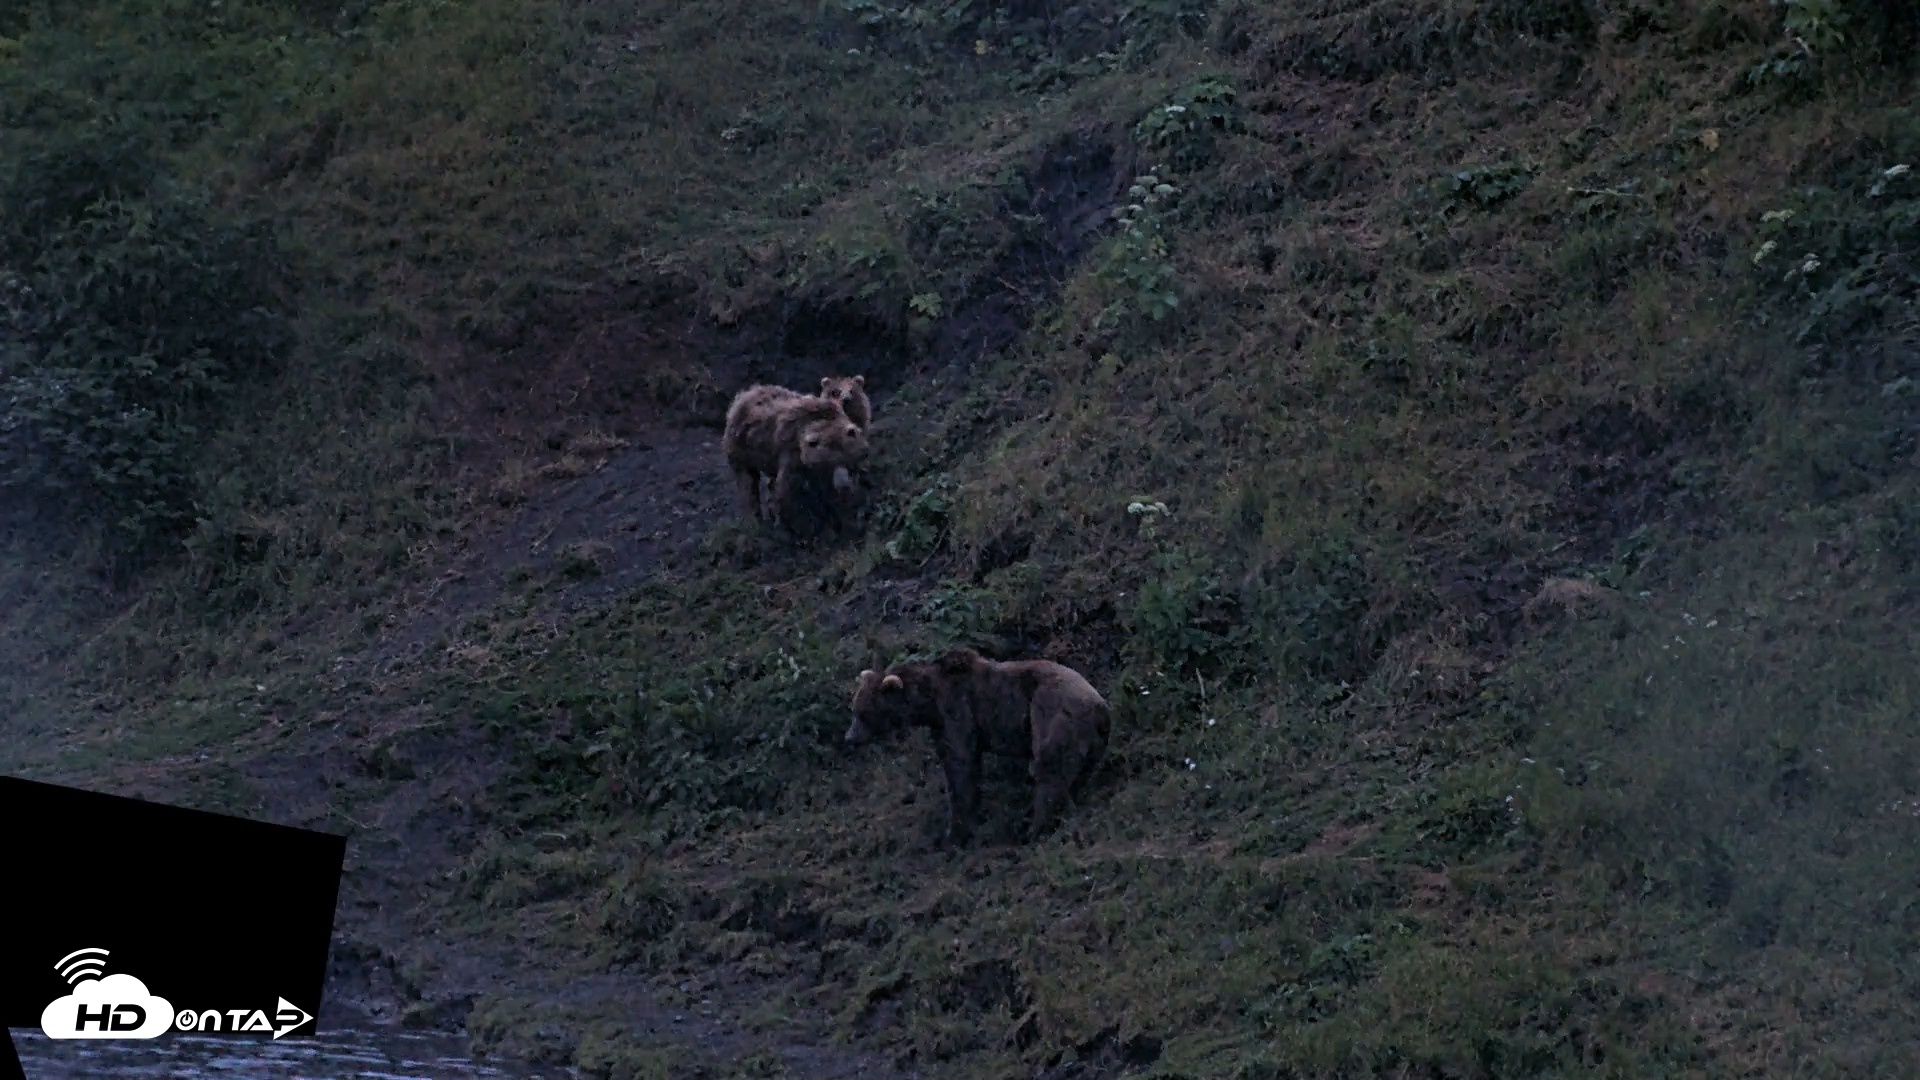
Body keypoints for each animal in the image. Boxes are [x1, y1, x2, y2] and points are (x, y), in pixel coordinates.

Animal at [722, 384, 870, 529]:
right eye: (830, 446)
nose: (864, 452)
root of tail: (743, 395)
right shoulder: (790, 453)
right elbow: (784, 489)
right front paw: (783, 519)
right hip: (740, 448)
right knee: (748, 482)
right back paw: (756, 517)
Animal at [845, 647, 1112, 846]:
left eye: (864, 713)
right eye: (854, 709)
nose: (849, 738)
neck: (929, 703)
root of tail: (1099, 705)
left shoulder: (958, 710)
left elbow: (960, 765)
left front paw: (955, 833)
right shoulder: (942, 722)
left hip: (1051, 712)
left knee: (1047, 767)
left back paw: (1034, 827)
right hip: (1093, 738)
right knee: (1078, 769)